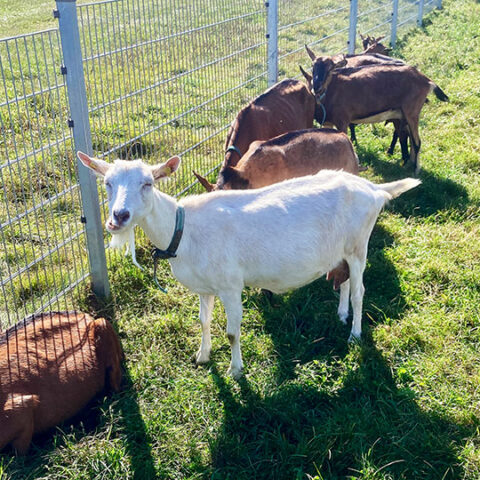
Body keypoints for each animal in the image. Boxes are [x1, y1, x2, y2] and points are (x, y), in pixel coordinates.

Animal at [77, 152, 418, 376]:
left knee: (360, 290)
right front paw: (202, 356)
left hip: (360, 245)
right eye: (107, 183)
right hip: (342, 248)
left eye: (147, 183)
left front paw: (236, 370)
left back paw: (355, 334)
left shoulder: (230, 286)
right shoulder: (205, 288)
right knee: (345, 281)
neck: (184, 229)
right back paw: (342, 314)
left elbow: (232, 332)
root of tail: (374, 189)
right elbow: (203, 321)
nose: (119, 217)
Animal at [304, 50, 450, 173]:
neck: (332, 89)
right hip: (404, 114)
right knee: (410, 139)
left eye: (330, 68)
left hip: (412, 111)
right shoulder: (327, 122)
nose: (317, 86)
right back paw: (409, 163)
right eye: (313, 66)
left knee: (417, 142)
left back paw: (416, 171)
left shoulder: (343, 121)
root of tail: (427, 81)